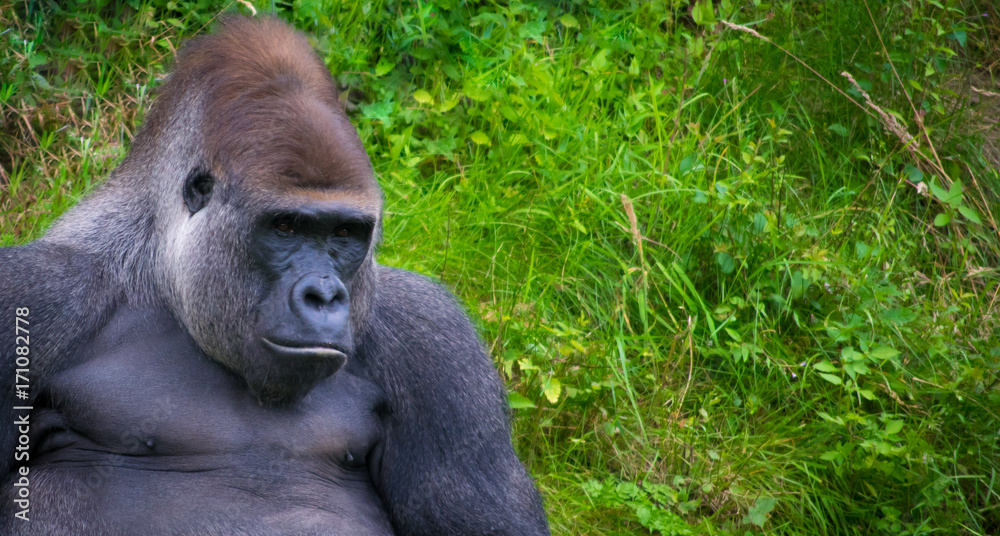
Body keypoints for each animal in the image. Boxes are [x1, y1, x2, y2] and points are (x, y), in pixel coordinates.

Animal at [0, 16, 549, 535]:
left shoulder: (434, 340)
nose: (324, 295)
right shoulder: (36, 294)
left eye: (345, 233)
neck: (162, 278)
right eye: (285, 227)